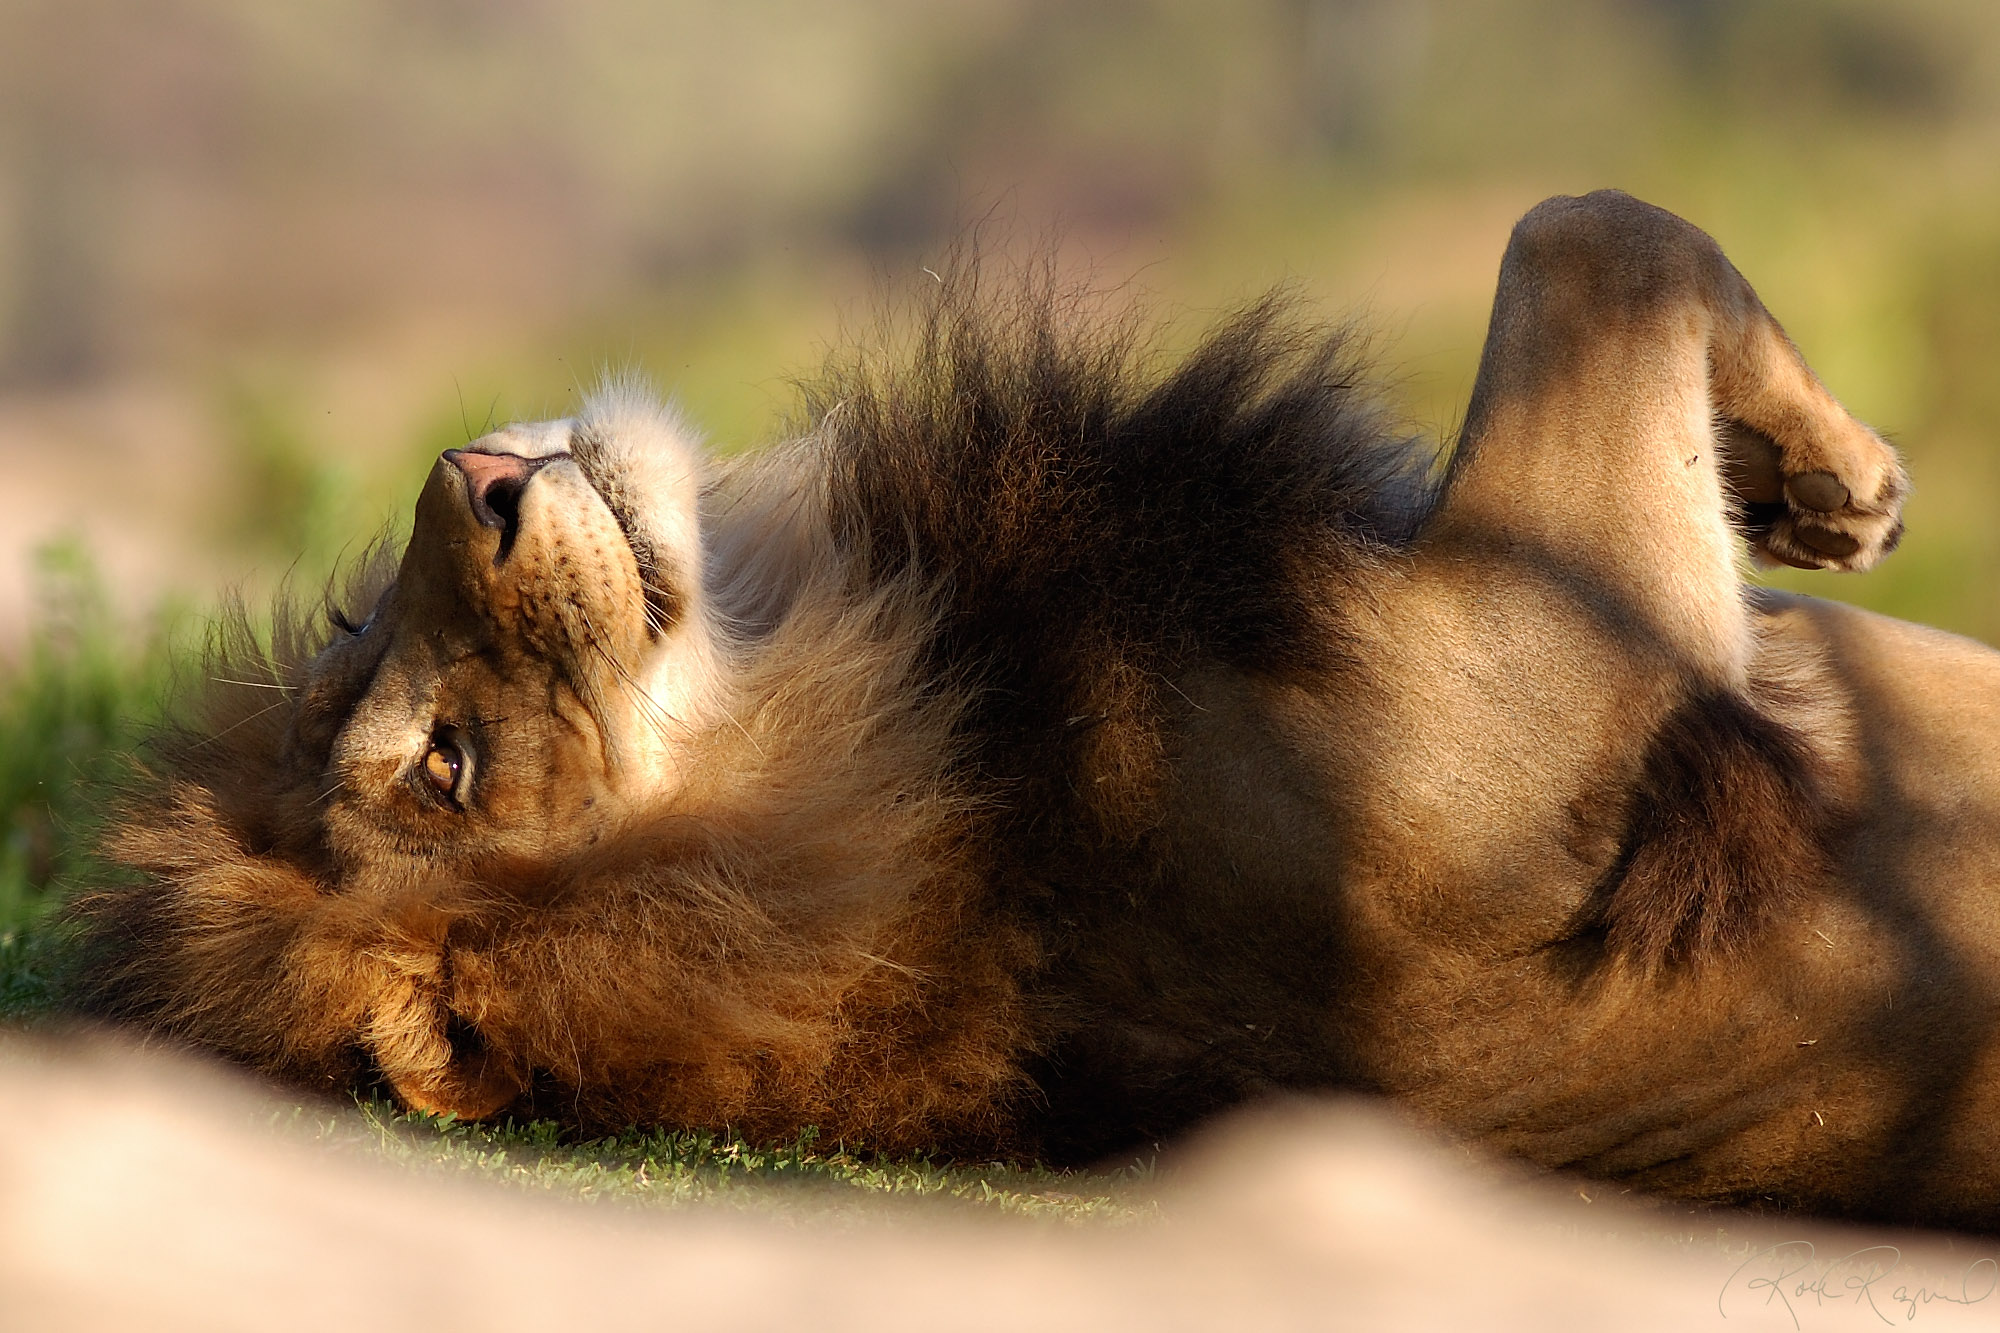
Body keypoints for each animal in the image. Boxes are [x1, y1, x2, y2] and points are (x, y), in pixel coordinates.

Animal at [58, 192, 2000, 1216]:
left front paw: (1816, 495)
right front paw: (1844, 480)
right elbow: (1597, 238)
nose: (472, 475)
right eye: (442, 771)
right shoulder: (1589, 652)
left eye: (355, 630)